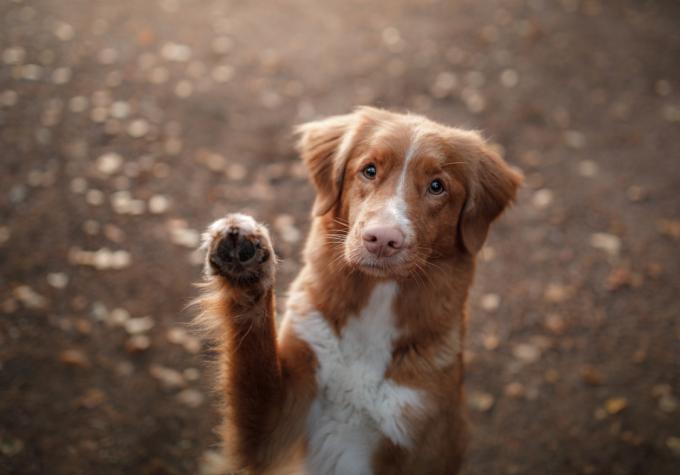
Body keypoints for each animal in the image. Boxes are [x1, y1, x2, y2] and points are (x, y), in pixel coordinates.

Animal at [194, 108, 524, 475]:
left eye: (437, 187)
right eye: (369, 170)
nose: (382, 239)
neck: (374, 310)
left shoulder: (418, 439)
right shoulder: (273, 428)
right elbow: (252, 354)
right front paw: (246, 264)